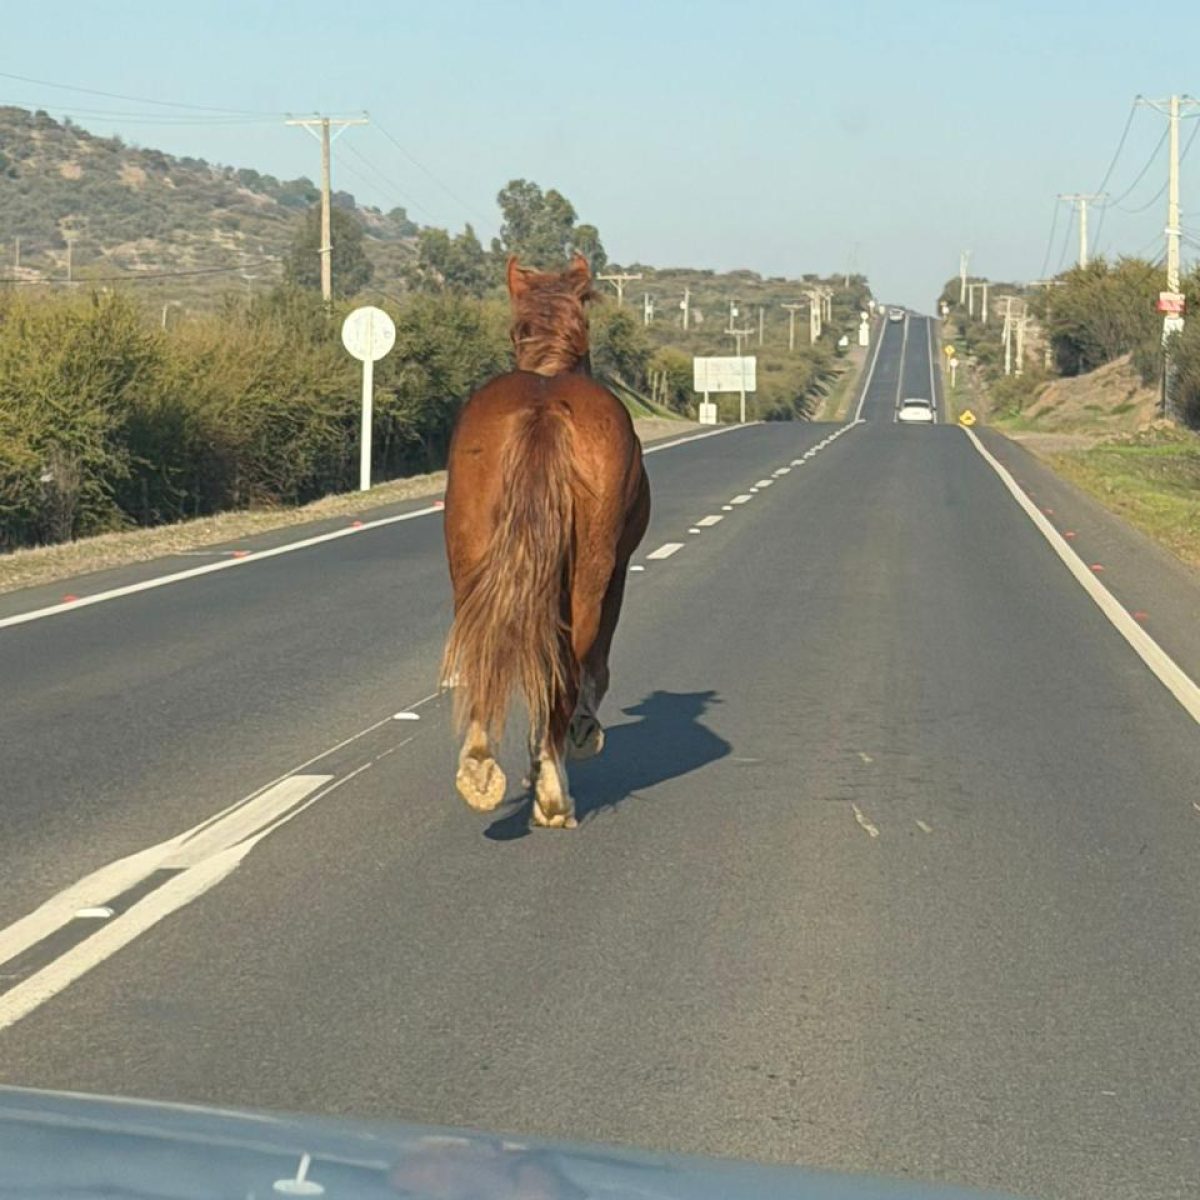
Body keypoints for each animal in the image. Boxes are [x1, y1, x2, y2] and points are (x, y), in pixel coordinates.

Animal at [441, 253, 651, 828]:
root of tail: (544, 409)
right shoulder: (618, 573)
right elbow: (593, 667)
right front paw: (574, 740)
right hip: (589, 579)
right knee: (565, 665)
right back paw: (555, 789)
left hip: (471, 564)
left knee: (485, 648)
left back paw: (480, 770)